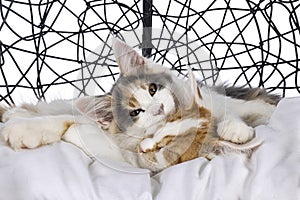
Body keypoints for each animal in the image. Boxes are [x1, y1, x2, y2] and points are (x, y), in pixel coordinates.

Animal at [0, 38, 282, 173]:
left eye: (153, 89)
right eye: (135, 112)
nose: (158, 109)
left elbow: (229, 111)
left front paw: (235, 129)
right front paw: (25, 128)